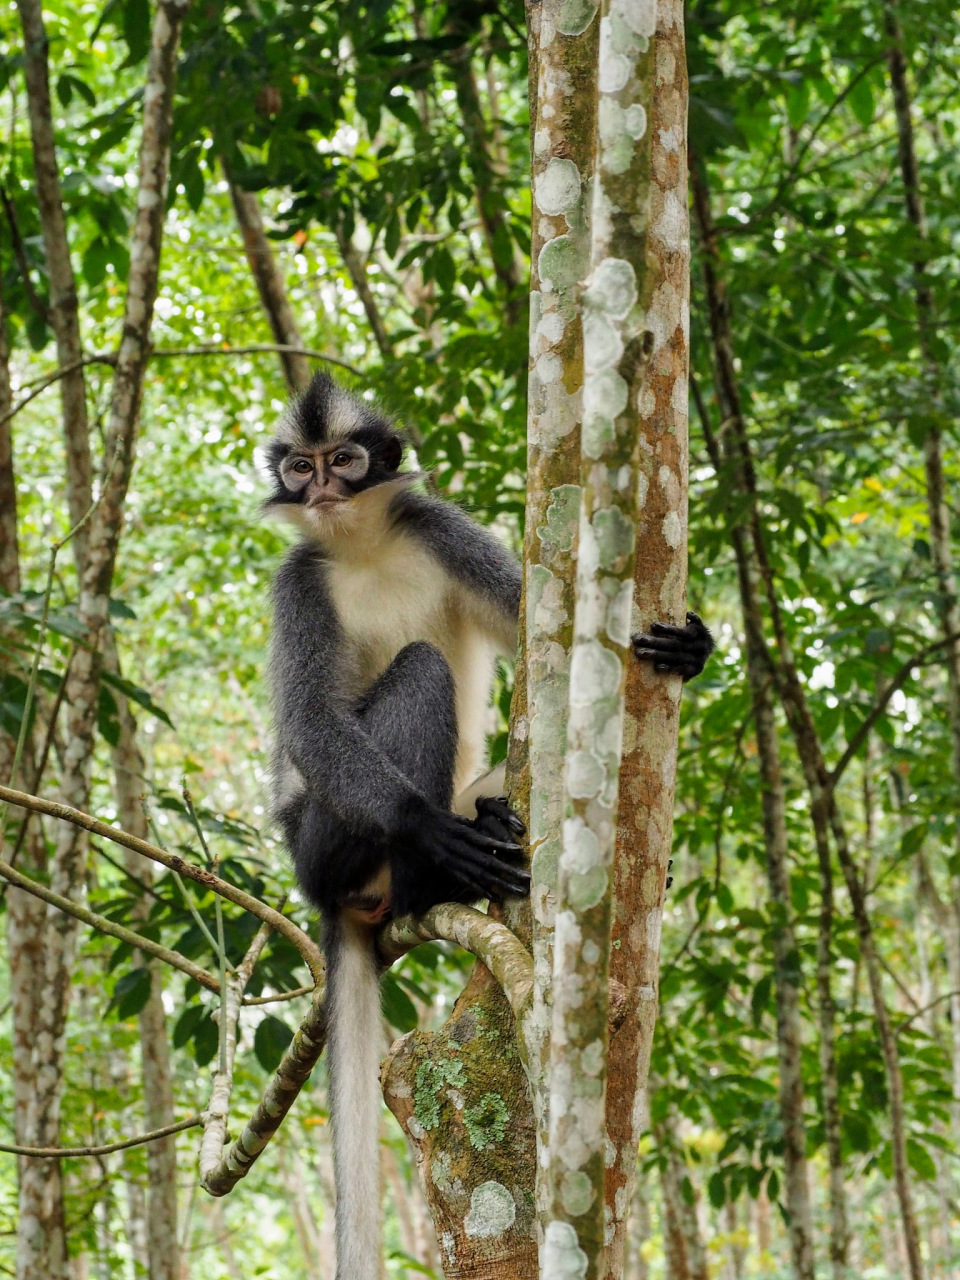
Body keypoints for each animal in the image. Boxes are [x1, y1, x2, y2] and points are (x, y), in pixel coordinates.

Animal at [263, 373, 716, 1280]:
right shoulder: (298, 582)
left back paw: (498, 826)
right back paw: (431, 869)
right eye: (299, 467)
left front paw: (695, 647)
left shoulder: (437, 530)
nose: (320, 488)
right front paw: (427, 830)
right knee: (421, 672)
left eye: (344, 460)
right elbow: (309, 721)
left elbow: (547, 626)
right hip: (320, 842)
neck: (361, 547)